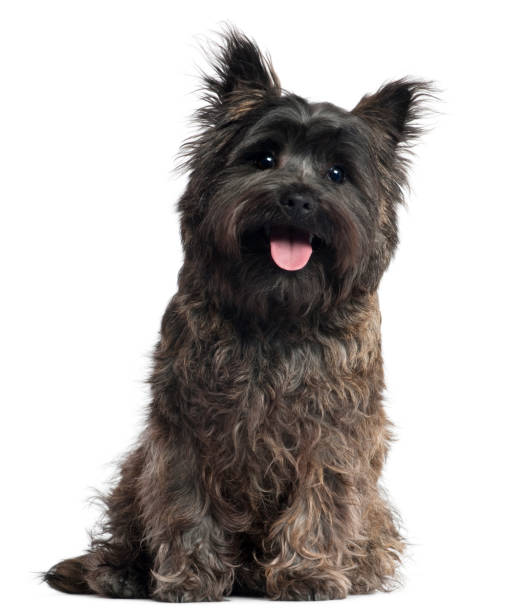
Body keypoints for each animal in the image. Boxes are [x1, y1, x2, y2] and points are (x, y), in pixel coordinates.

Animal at [41, 28, 428, 604]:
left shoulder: (335, 435)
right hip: (137, 467)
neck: (276, 313)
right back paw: (119, 571)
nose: (298, 200)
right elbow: (184, 505)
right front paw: (190, 577)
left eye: (338, 174)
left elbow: (321, 501)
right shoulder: (184, 428)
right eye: (264, 159)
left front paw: (307, 574)